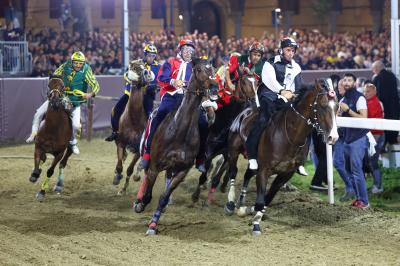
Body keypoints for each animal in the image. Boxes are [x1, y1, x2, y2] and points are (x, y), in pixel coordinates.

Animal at [113, 60, 157, 194]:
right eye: (135, 68)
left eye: (143, 67)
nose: (147, 73)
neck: (133, 119)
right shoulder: (121, 142)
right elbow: (119, 165)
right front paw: (117, 177)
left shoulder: (138, 148)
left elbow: (129, 169)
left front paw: (124, 188)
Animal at [134, 58, 216, 235]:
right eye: (199, 69)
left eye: (212, 69)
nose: (213, 87)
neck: (179, 131)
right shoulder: (155, 166)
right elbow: (149, 194)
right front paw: (141, 204)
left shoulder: (181, 171)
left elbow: (163, 197)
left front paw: (153, 224)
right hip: (149, 159)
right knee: (145, 172)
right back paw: (138, 201)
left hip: (171, 168)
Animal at [191, 67, 260, 203]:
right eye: (244, 82)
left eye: (256, 83)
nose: (254, 101)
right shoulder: (209, 151)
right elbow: (204, 172)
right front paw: (195, 195)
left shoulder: (229, 152)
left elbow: (218, 175)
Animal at [212, 78, 338, 235]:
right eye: (322, 105)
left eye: (337, 107)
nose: (333, 137)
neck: (289, 135)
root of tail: (245, 112)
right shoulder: (264, 170)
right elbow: (261, 200)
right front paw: (256, 224)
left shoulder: (286, 174)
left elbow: (268, 198)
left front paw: (249, 211)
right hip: (234, 150)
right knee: (233, 172)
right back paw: (230, 203)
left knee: (247, 174)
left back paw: (240, 203)